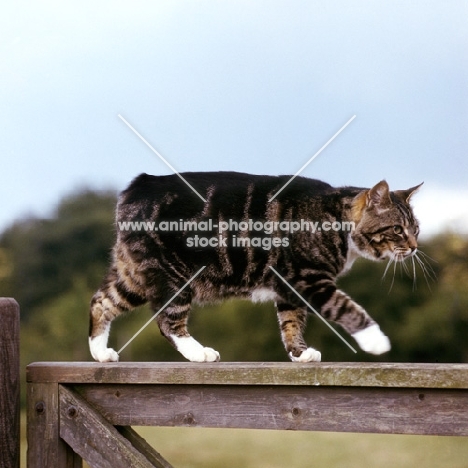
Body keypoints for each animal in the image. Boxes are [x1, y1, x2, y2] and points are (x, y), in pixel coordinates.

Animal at [89, 172, 422, 362]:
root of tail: (138, 185)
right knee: (168, 321)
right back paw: (198, 353)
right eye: (397, 229)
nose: (415, 247)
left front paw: (300, 353)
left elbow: (291, 322)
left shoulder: (290, 287)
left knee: (100, 301)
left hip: (133, 275)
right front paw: (375, 339)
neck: (336, 219)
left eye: (416, 229)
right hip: (173, 274)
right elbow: (347, 308)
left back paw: (100, 352)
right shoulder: (310, 280)